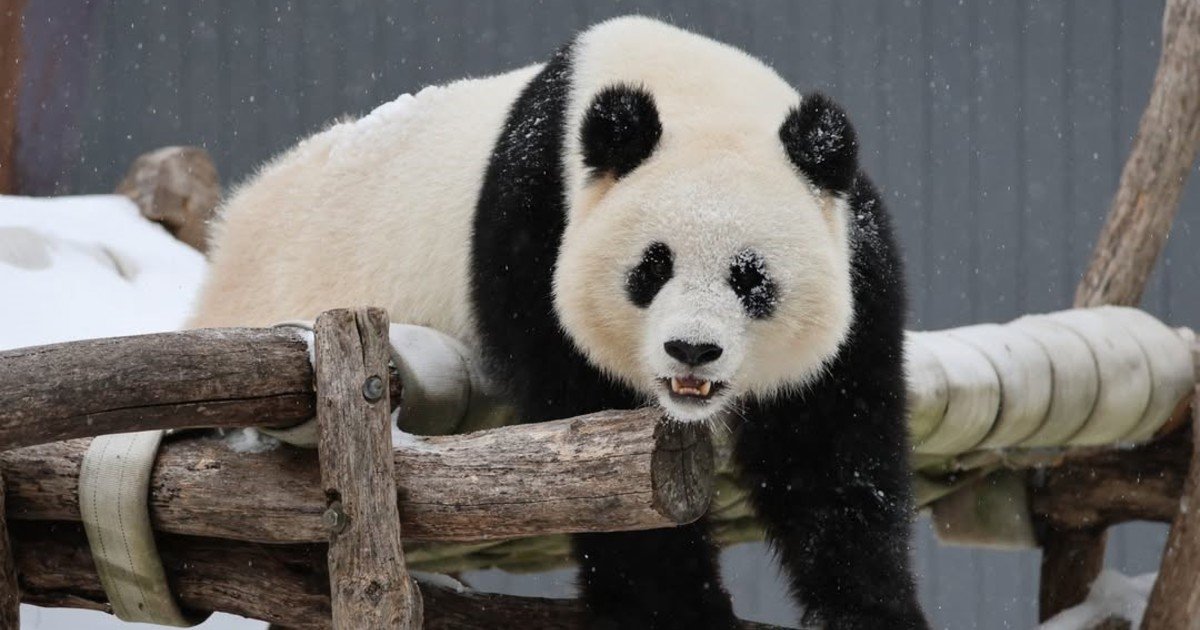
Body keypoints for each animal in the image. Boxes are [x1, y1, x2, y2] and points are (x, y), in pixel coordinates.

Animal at [191, 16, 927, 630]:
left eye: (751, 278)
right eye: (652, 267)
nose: (692, 350)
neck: (689, 92)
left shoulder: (858, 254)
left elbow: (831, 446)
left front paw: (868, 608)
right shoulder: (534, 228)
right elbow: (599, 455)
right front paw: (675, 610)